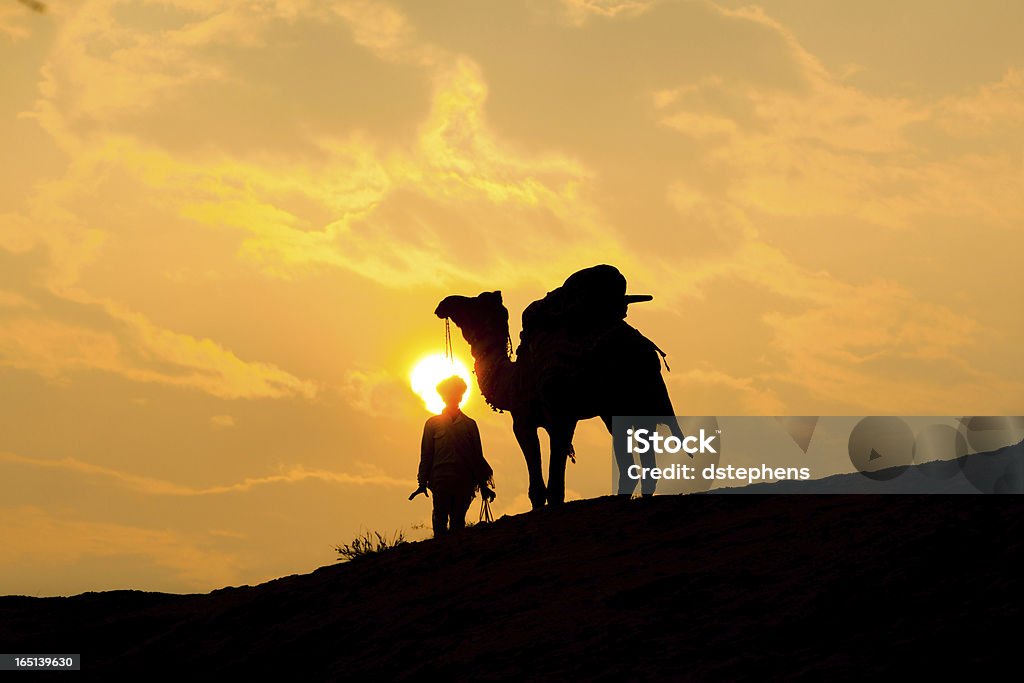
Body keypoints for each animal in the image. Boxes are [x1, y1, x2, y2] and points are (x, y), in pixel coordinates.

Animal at [434, 266, 688, 507]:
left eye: (473, 303)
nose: (444, 303)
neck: (511, 379)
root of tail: (645, 350)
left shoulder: (538, 416)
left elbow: (546, 478)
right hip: (627, 402)